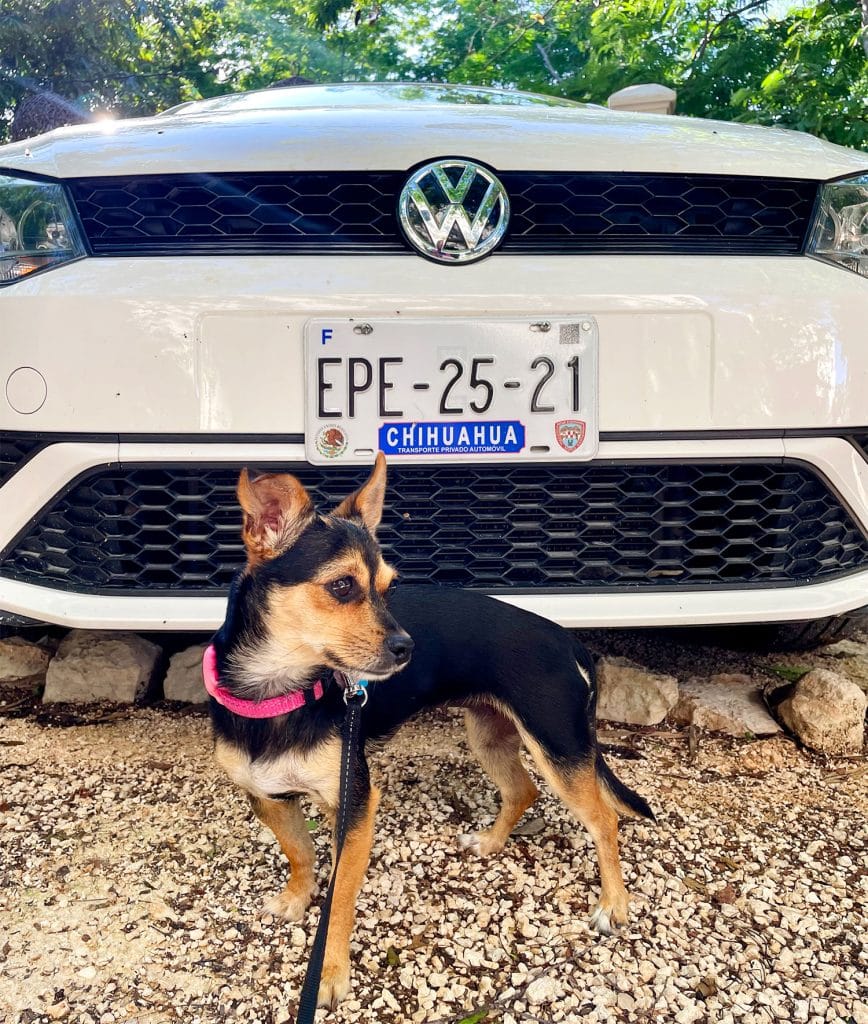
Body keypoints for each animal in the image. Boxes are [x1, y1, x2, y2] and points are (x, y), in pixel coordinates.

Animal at [208, 456, 651, 1007]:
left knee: (604, 820)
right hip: (489, 735)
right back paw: (490, 844)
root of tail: (565, 637)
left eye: (390, 588)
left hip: (558, 747)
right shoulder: (267, 795)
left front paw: (329, 972)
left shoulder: (354, 802)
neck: (278, 691)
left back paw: (614, 905)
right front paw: (297, 896)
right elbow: (299, 852)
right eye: (342, 586)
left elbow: (341, 898)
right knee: (522, 791)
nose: (408, 648)